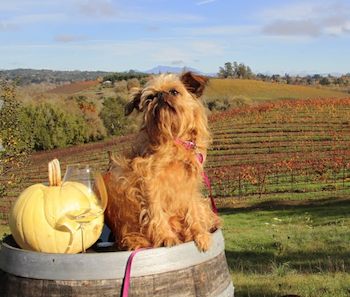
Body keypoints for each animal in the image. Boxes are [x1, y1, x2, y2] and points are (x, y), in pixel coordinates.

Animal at [102, 71, 220, 250]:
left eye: (174, 92)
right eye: (149, 98)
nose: (160, 95)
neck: (174, 139)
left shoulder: (189, 185)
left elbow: (192, 210)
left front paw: (198, 233)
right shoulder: (148, 181)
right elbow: (155, 212)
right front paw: (165, 237)